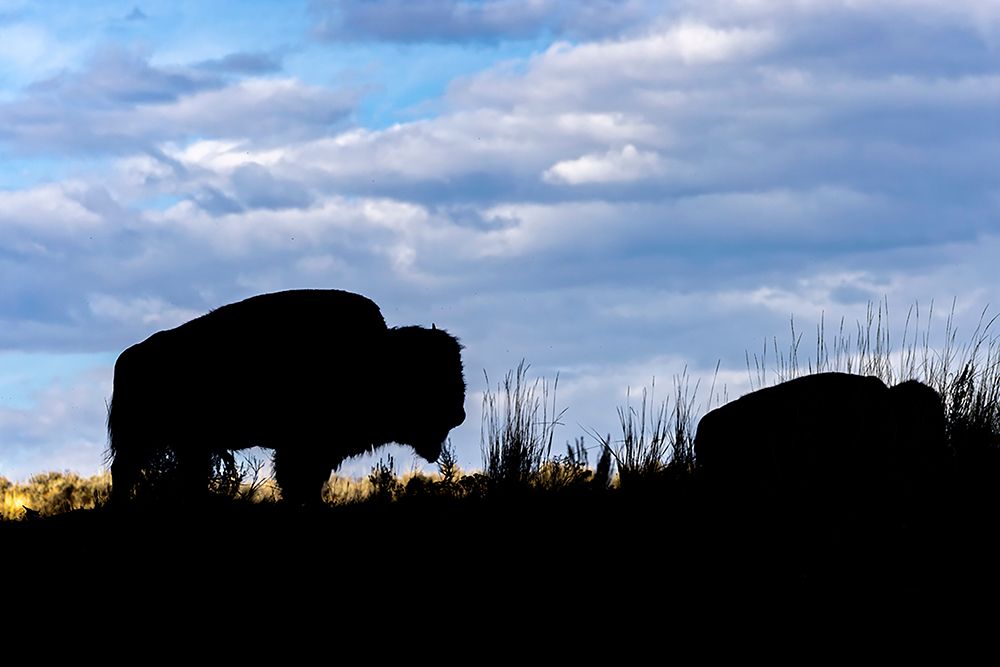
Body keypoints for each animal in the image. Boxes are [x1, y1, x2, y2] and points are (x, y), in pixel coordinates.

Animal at [107, 290, 466, 506]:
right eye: (428, 374)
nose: (459, 414)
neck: (378, 357)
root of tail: (129, 357)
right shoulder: (303, 447)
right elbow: (298, 480)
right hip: (140, 438)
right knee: (125, 472)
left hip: (187, 444)